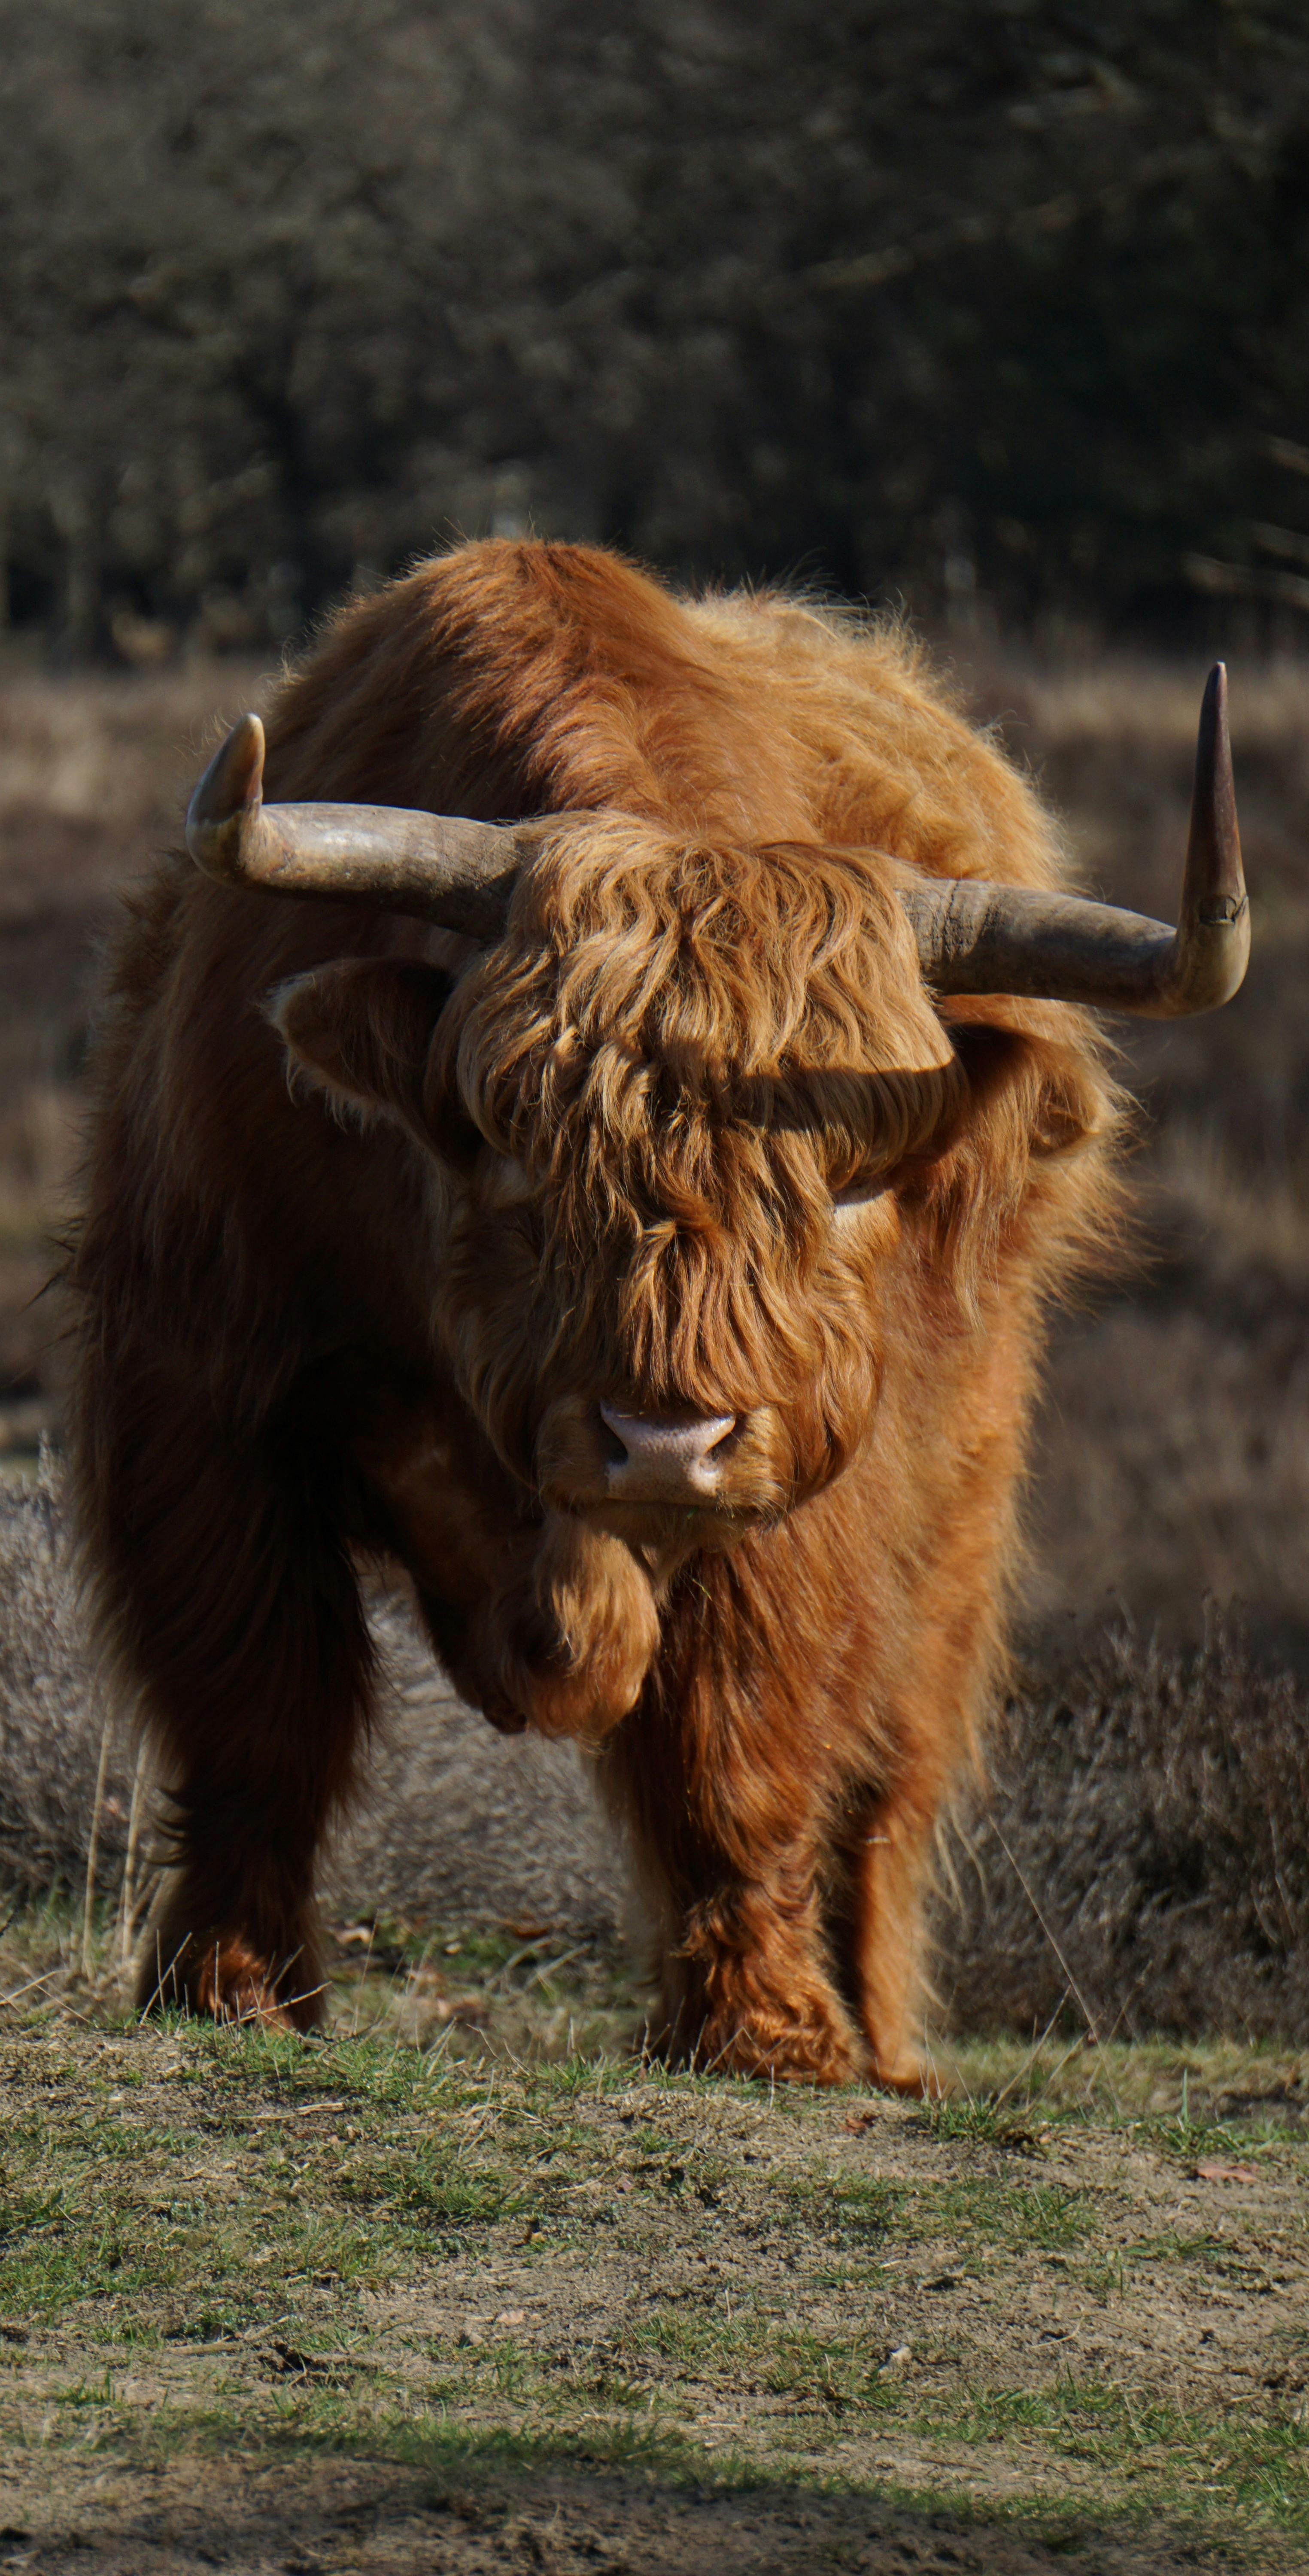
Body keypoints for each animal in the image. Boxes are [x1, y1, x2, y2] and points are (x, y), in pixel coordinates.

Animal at [64, 544, 1247, 2092]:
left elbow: (738, 1741)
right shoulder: (202, 1389)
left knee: (888, 1774)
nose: (664, 1444)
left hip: (954, 1488)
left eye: (853, 1175)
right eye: (508, 1139)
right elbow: (258, 1703)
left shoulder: (806, 1480)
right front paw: (229, 1984)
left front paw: (765, 2030)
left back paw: (882, 2037)